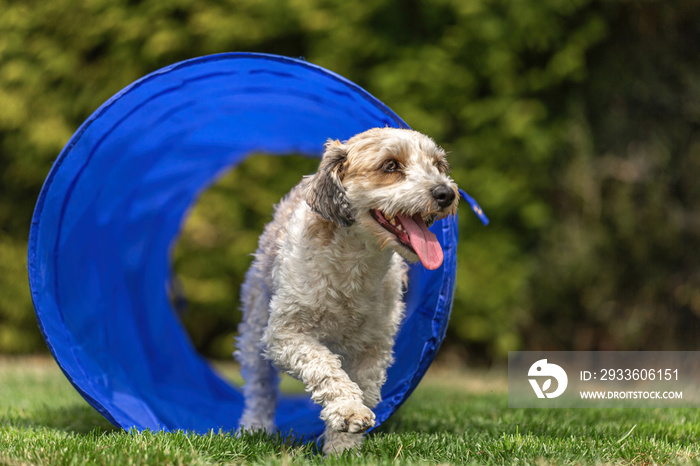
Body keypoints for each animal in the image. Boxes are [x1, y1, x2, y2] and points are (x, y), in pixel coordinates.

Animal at [235, 127, 462, 456]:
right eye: (390, 165)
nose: (447, 193)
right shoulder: (286, 334)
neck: (354, 264)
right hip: (254, 329)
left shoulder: (374, 348)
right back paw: (254, 427)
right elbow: (324, 365)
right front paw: (348, 411)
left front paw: (343, 449)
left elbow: (364, 388)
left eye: (438, 165)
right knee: (259, 388)